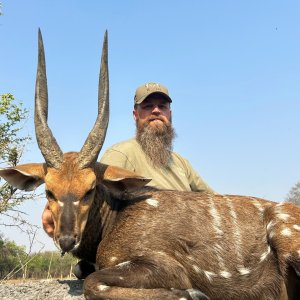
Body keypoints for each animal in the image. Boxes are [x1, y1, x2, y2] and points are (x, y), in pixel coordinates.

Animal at [0, 28, 300, 300]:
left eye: (90, 189)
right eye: (49, 191)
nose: (66, 239)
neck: (117, 215)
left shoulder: (165, 265)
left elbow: (94, 283)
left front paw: (193, 294)